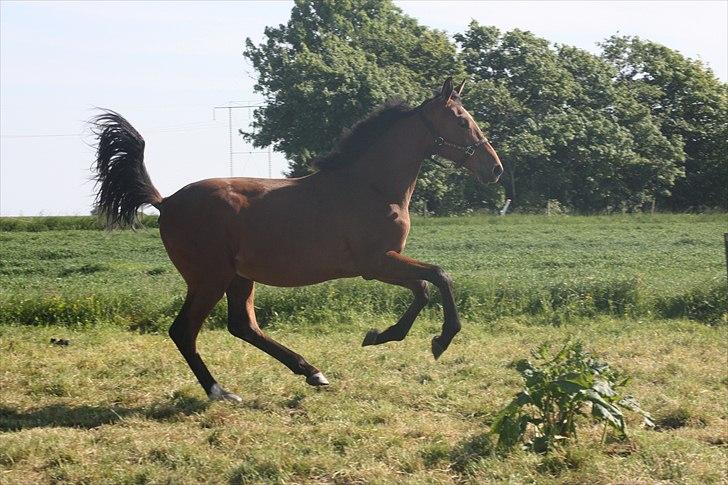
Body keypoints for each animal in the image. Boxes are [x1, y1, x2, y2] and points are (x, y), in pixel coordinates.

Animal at [89, 76, 500, 400]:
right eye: (462, 121)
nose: (494, 168)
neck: (371, 187)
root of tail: (166, 202)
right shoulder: (377, 263)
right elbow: (438, 277)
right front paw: (439, 340)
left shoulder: (385, 262)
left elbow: (424, 289)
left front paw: (381, 335)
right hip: (209, 279)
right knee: (184, 332)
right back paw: (221, 392)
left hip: (239, 277)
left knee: (242, 326)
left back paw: (312, 372)